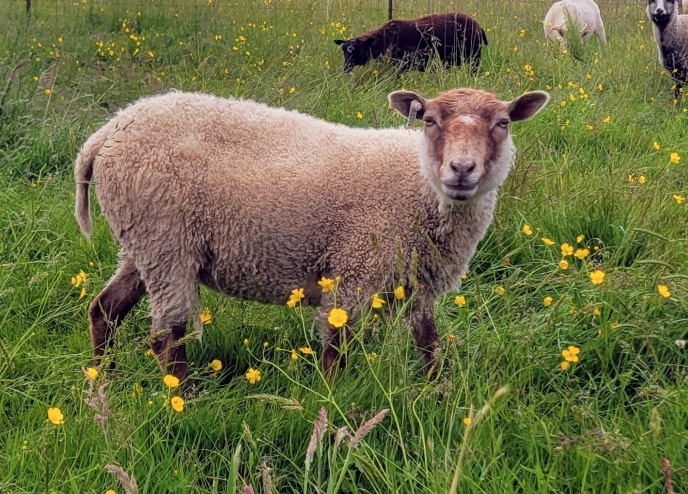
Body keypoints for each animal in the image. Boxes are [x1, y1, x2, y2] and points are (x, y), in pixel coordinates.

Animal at [74, 87, 549, 384]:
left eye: (503, 123)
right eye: (430, 120)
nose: (461, 169)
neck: (417, 184)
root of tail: (107, 133)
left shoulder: (420, 282)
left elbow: (428, 343)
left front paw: (437, 397)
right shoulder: (356, 268)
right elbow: (336, 348)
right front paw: (331, 410)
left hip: (143, 241)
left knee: (105, 309)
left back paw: (102, 384)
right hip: (165, 237)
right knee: (166, 335)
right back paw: (183, 402)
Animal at [333, 13, 488, 74]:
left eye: (357, 50)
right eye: (343, 51)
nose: (346, 69)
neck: (385, 38)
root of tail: (479, 26)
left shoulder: (403, 64)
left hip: (474, 58)